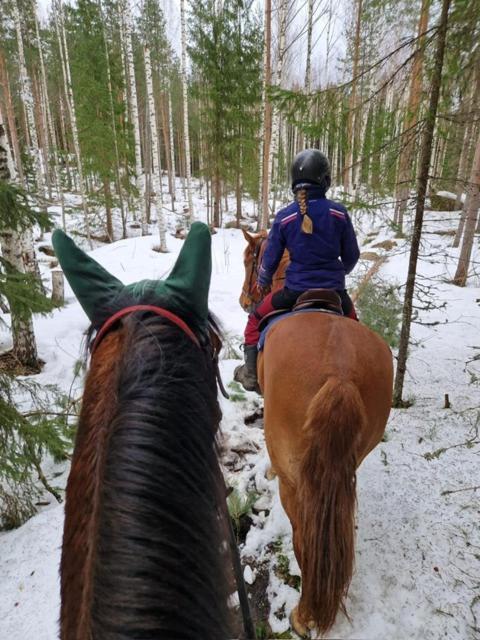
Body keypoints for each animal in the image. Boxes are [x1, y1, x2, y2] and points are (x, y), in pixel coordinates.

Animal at [238, 229, 392, 636]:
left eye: (249, 259)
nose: (245, 300)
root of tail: (339, 375)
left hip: (297, 480)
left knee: (303, 538)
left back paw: (303, 614)